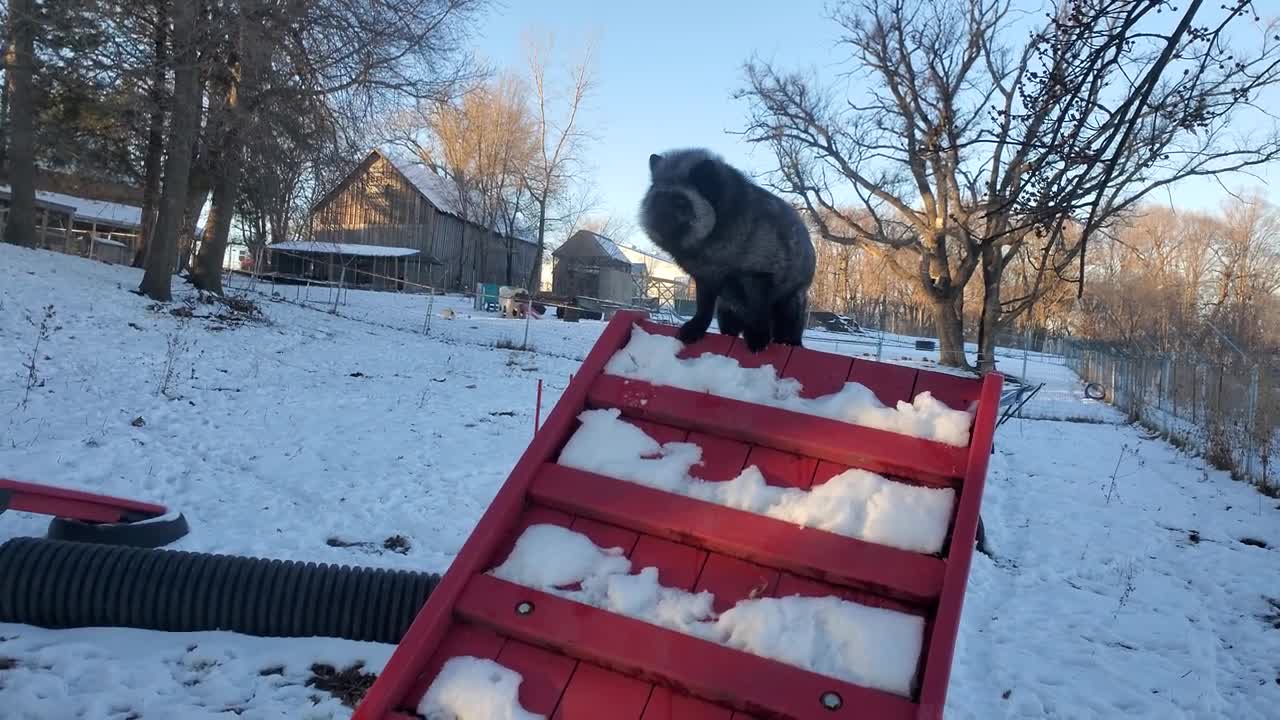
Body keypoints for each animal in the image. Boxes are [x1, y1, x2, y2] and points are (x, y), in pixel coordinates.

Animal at [640, 149, 819, 351]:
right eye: (657, 199)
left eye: (680, 202)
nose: (653, 220)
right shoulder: (705, 279)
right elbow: (703, 309)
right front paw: (696, 328)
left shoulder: (758, 277)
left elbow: (758, 312)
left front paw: (757, 337)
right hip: (726, 313)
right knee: (730, 331)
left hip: (790, 308)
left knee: (788, 336)